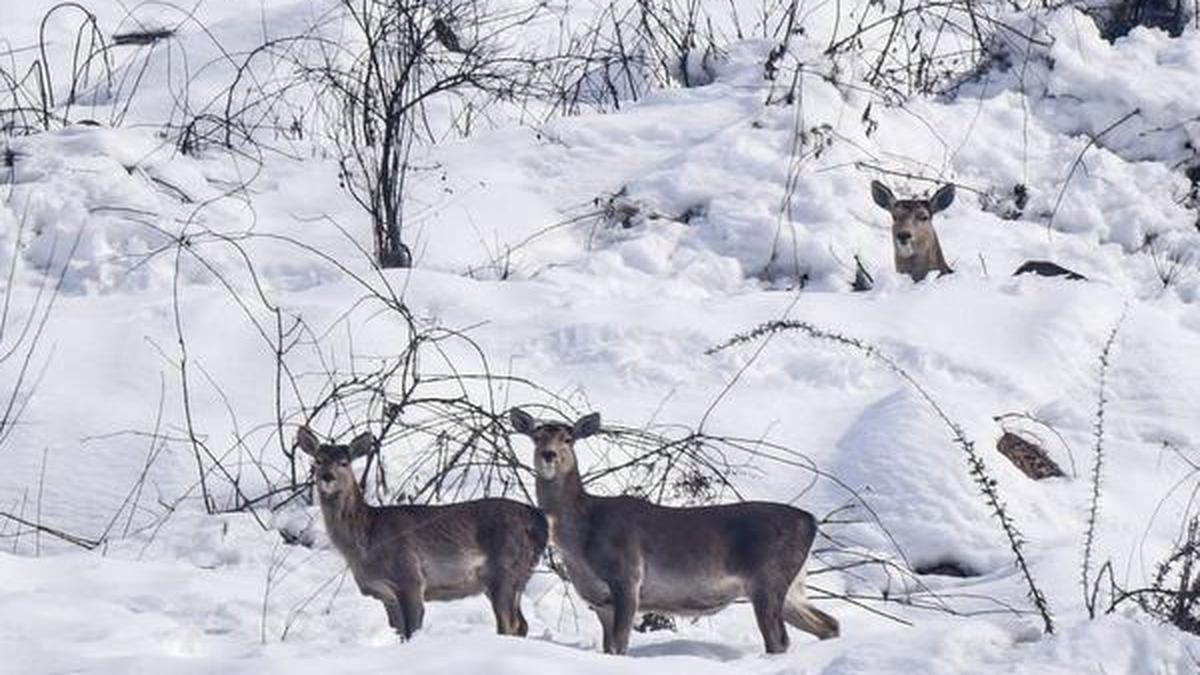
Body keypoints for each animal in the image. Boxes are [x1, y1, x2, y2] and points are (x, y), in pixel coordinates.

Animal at [511, 403, 840, 653]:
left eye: (568, 438)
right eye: (536, 436)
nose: (549, 455)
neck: (580, 538)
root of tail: (810, 521)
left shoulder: (627, 576)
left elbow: (620, 645)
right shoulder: (599, 600)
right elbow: (609, 647)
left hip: (768, 577)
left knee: (779, 640)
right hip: (792, 586)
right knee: (829, 624)